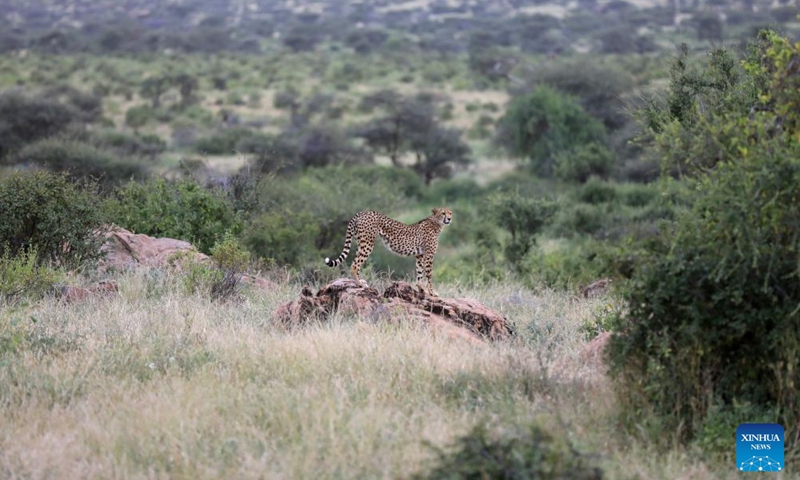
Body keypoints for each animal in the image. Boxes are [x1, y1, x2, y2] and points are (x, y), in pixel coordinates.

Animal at [324, 207, 453, 296]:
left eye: (450, 212)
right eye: (443, 213)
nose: (450, 218)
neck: (436, 223)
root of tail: (362, 212)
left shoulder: (420, 255)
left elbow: (420, 272)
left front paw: (421, 289)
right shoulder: (429, 255)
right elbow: (429, 275)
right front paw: (432, 292)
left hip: (361, 243)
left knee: (356, 262)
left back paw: (361, 281)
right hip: (368, 244)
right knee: (355, 265)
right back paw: (360, 284)